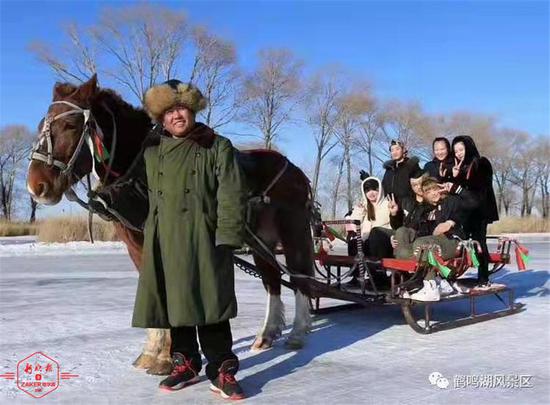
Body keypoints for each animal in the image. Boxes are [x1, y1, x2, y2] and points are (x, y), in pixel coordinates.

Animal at [27, 75, 320, 372]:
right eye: (41, 126)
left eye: (70, 125)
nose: (36, 186)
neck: (138, 172)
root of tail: (296, 172)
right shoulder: (135, 243)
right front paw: (152, 350)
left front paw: (167, 356)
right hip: (261, 241)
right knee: (272, 280)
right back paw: (266, 334)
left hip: (293, 231)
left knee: (299, 276)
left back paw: (297, 331)